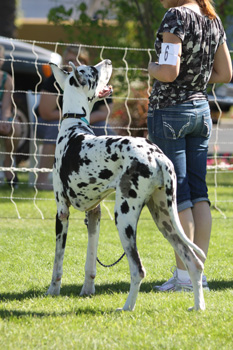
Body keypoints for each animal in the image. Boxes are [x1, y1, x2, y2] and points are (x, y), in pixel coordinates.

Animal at [46, 58, 206, 310]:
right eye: (93, 71)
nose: (108, 61)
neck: (74, 126)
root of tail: (157, 155)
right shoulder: (94, 214)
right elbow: (90, 263)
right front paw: (87, 290)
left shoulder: (62, 212)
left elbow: (57, 262)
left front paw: (53, 291)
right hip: (165, 218)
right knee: (194, 262)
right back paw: (198, 307)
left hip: (124, 218)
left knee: (138, 270)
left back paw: (127, 308)